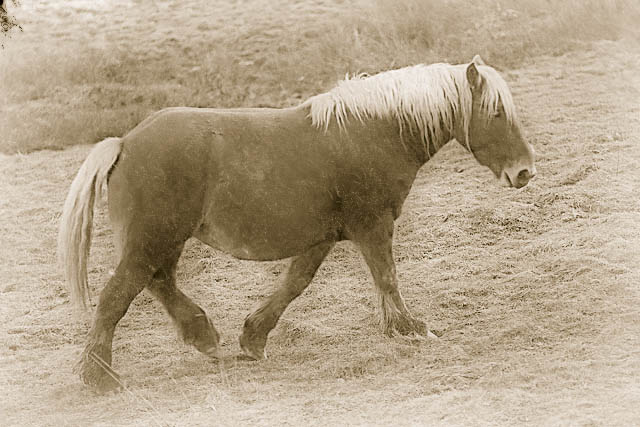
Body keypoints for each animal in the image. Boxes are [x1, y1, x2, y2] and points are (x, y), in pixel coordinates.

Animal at [57, 55, 536, 392]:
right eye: (495, 113)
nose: (524, 172)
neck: (376, 132)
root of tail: (123, 143)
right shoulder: (372, 225)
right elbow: (386, 276)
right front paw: (409, 328)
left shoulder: (323, 237)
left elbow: (295, 283)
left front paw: (254, 337)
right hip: (153, 240)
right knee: (117, 296)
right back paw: (101, 378)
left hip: (164, 241)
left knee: (159, 284)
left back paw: (204, 336)